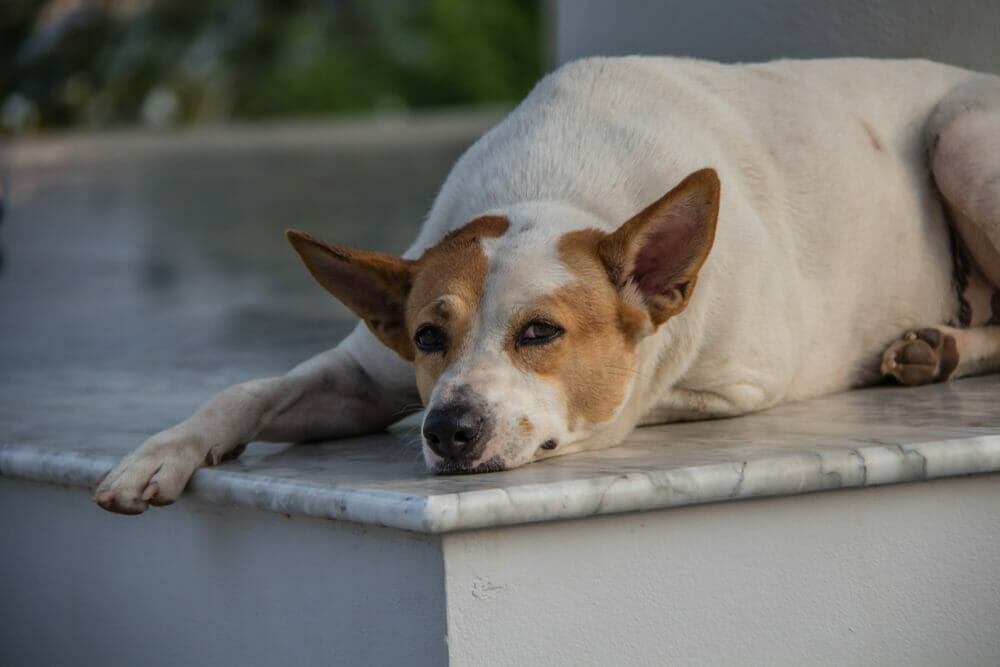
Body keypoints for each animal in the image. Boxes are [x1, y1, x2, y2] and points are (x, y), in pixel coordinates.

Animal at [95, 57, 1000, 516]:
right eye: (428, 336)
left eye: (541, 332)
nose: (448, 429)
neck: (552, 183)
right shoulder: (365, 373)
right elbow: (244, 391)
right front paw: (160, 453)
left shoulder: (740, 381)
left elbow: (630, 400)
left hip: (963, 136)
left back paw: (943, 344)